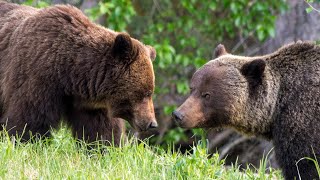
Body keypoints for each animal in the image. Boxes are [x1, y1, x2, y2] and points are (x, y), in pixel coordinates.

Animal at [0, 1, 158, 145]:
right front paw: (25, 141)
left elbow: (101, 130)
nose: (152, 124)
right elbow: (29, 119)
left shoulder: (89, 104)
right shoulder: (37, 75)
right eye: (146, 93)